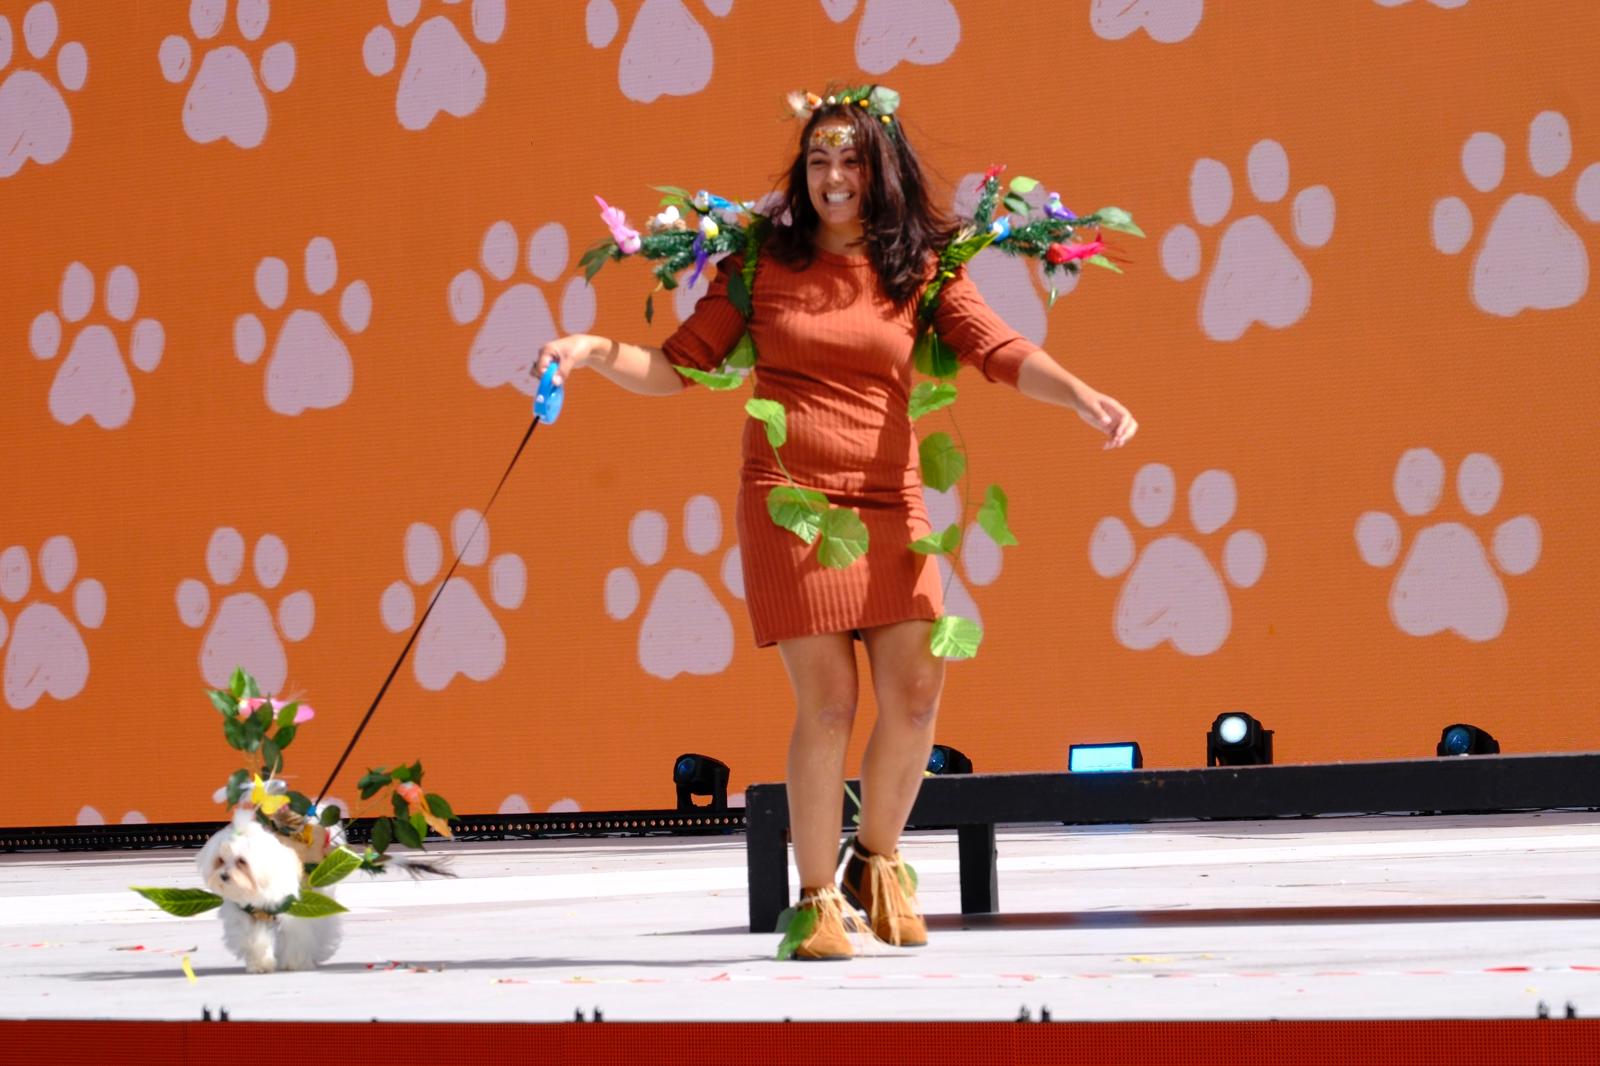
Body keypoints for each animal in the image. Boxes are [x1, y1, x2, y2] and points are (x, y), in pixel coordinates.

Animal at [197, 806, 340, 973]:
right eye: (220, 860)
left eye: (241, 861)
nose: (224, 876)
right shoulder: (250, 916)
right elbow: (254, 940)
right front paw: (261, 964)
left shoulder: (294, 911)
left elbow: (297, 937)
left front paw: (295, 963)